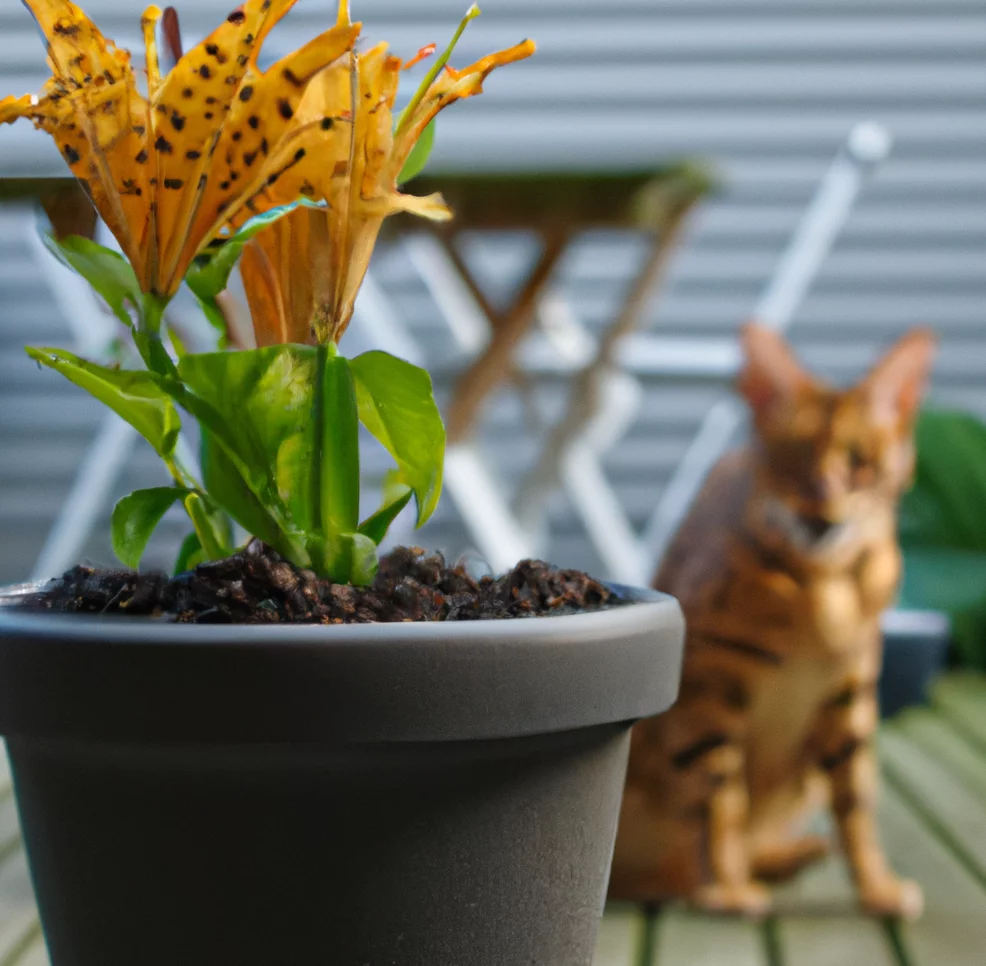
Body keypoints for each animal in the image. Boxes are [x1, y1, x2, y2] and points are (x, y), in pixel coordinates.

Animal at [612, 322, 936, 920]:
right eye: (791, 459)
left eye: (860, 462)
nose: (821, 518)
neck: (824, 590)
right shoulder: (707, 687)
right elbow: (718, 798)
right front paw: (727, 890)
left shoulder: (850, 693)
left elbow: (857, 799)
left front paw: (877, 887)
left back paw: (795, 854)